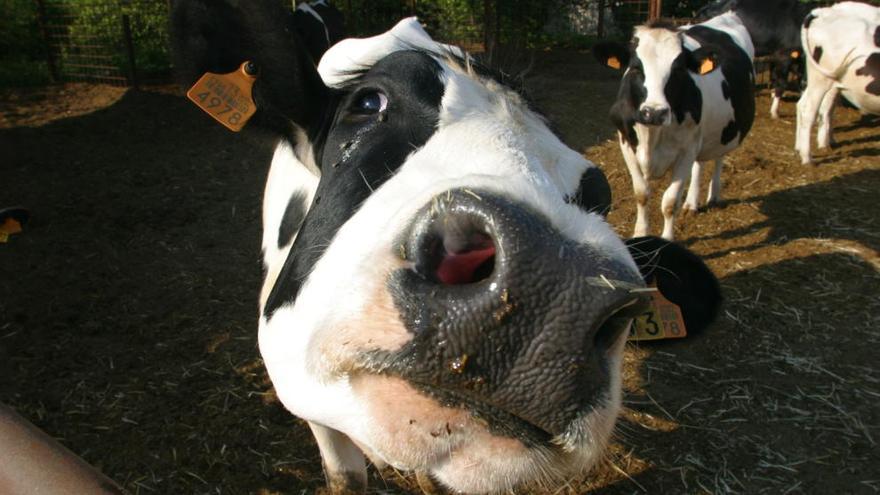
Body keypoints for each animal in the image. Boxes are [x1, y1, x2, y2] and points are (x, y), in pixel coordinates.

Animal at [600, 13, 756, 240]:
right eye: (636, 68)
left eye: (678, 70)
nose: (654, 112)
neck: (652, 136)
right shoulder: (626, 142)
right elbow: (641, 193)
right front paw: (640, 233)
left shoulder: (687, 149)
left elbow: (670, 202)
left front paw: (667, 239)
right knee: (700, 164)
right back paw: (691, 203)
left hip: (724, 130)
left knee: (718, 158)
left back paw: (714, 195)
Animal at [796, 0, 880, 166]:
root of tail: (823, 12)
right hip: (821, 80)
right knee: (810, 112)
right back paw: (807, 157)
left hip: (823, 80)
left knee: (806, 105)